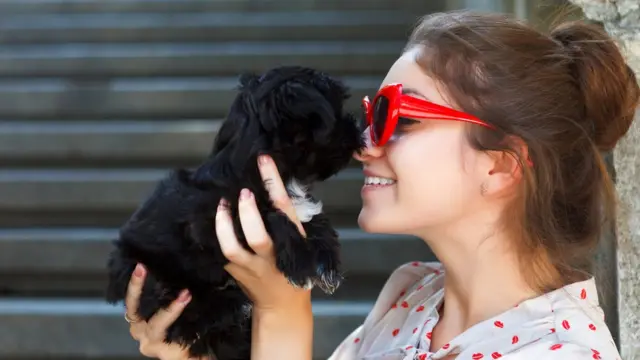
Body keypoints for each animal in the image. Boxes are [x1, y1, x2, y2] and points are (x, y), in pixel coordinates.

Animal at [105, 65, 364, 360]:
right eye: (338, 112)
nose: (358, 128)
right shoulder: (212, 222)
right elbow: (271, 216)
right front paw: (303, 260)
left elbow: (310, 217)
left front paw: (325, 258)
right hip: (149, 271)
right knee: (182, 310)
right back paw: (229, 305)